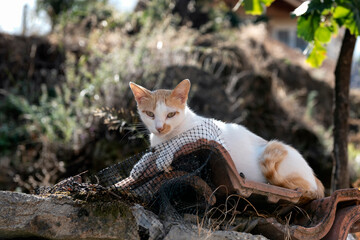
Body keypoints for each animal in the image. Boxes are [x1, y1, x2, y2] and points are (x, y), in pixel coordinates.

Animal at [129, 79, 324, 200]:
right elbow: (152, 151)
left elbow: (180, 139)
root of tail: (317, 180)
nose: (160, 127)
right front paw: (139, 165)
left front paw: (163, 156)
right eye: (150, 114)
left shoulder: (209, 135)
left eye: (170, 114)